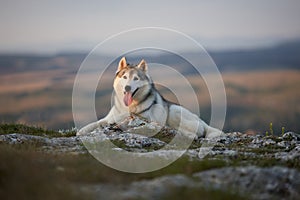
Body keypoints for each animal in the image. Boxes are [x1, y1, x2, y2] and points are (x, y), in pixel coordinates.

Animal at [77, 57, 223, 138]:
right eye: (124, 77)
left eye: (136, 78)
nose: (127, 88)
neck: (130, 106)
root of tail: (202, 121)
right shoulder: (108, 118)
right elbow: (96, 123)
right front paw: (82, 130)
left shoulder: (145, 118)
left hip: (174, 110)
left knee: (195, 134)